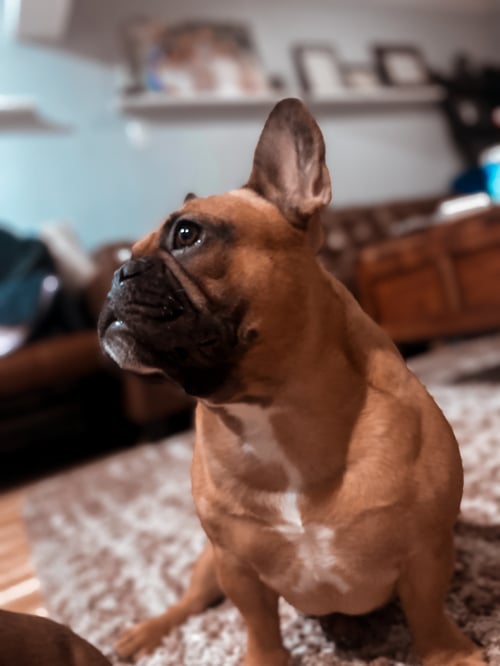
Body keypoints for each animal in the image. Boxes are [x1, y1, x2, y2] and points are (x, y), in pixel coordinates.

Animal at [98, 98, 485, 665]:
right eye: (127, 254)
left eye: (187, 234)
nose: (117, 275)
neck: (271, 407)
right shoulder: (236, 566)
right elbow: (258, 624)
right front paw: (262, 659)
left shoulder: (427, 549)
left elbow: (428, 611)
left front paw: (448, 654)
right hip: (207, 563)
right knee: (190, 602)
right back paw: (145, 632)